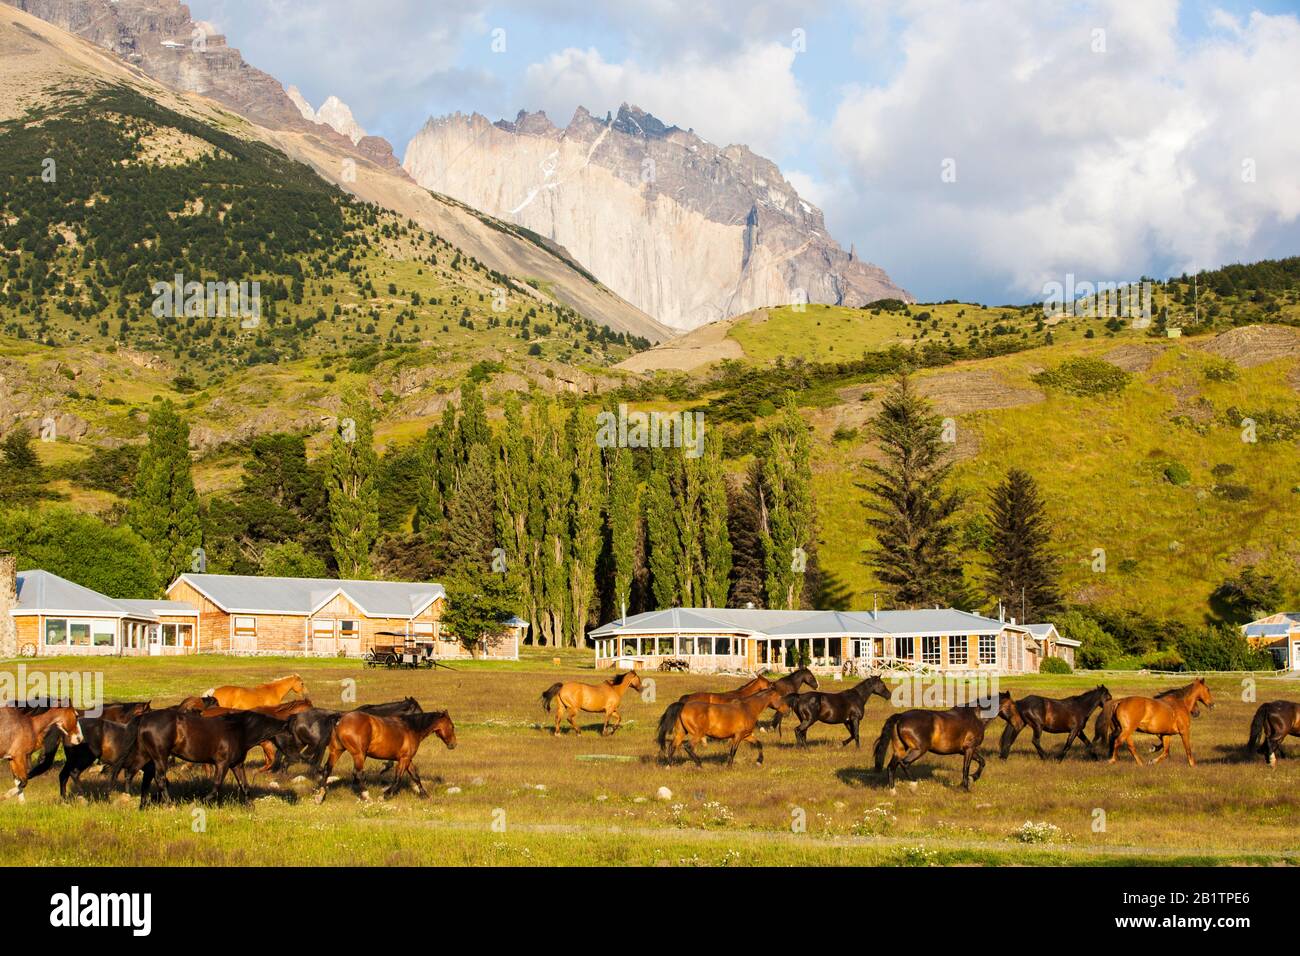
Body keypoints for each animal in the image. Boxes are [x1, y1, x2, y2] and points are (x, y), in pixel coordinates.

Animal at [314, 707, 457, 806]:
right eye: (452, 726)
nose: (453, 744)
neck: (411, 729)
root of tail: (341, 719)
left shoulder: (407, 759)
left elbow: (416, 777)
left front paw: (425, 795)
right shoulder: (404, 759)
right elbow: (398, 779)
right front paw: (385, 795)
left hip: (336, 751)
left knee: (327, 770)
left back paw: (320, 796)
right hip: (359, 754)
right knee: (358, 773)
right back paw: (366, 796)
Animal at [660, 686, 790, 770]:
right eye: (780, 697)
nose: (788, 711)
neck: (748, 708)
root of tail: (683, 705)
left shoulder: (746, 735)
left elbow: (759, 744)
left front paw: (759, 761)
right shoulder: (738, 736)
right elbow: (733, 751)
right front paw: (729, 767)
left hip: (681, 733)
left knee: (672, 746)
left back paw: (669, 766)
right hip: (697, 734)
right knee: (688, 747)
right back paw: (699, 765)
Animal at [873, 691, 1013, 790]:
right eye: (1012, 705)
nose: (1014, 723)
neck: (977, 716)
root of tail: (901, 716)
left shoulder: (965, 750)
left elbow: (982, 762)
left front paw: (972, 778)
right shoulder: (969, 748)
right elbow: (966, 767)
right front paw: (966, 786)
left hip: (900, 750)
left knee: (891, 766)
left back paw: (893, 791)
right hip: (918, 750)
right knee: (904, 763)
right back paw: (913, 785)